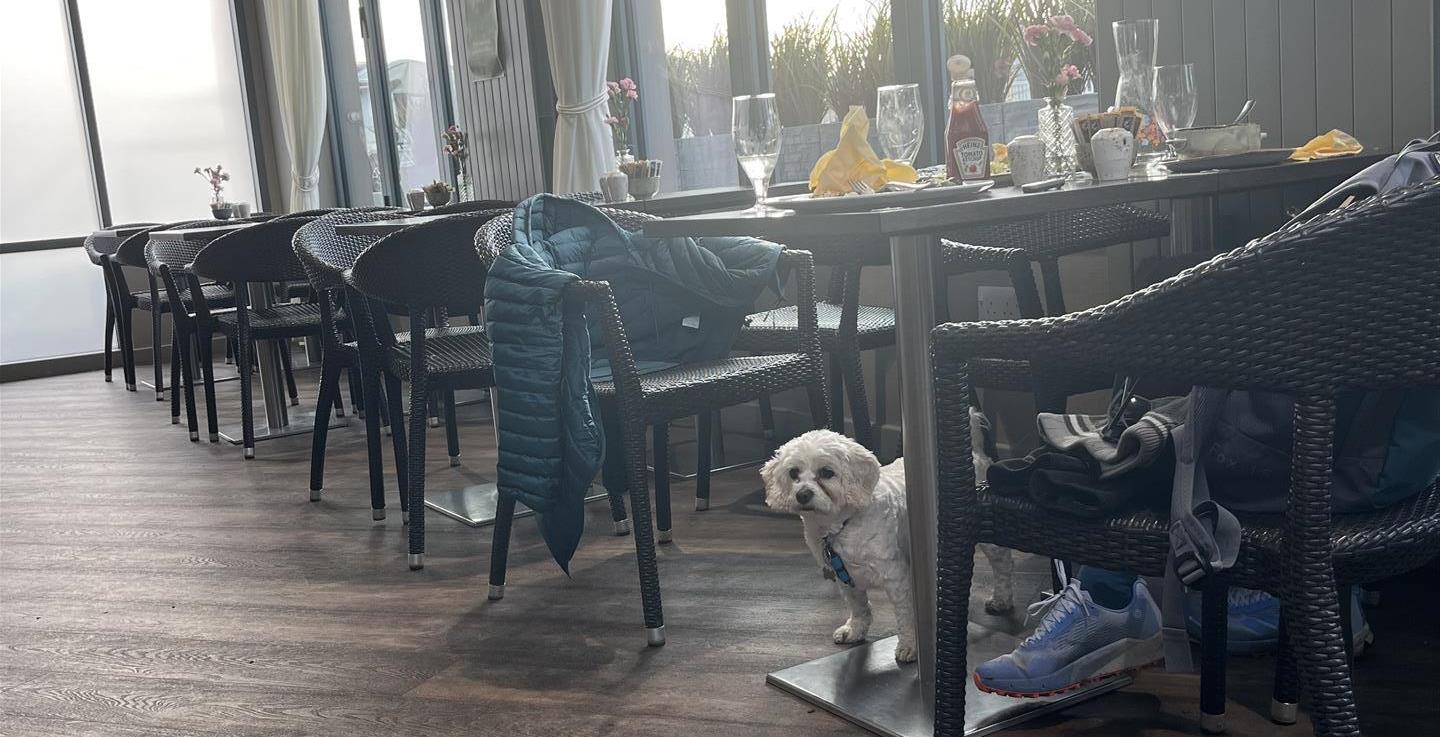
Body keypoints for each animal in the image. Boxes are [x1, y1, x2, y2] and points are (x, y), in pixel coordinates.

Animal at [766, 414, 1013, 662]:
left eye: (827, 472)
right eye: (793, 473)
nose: (802, 494)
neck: (844, 524)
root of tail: (974, 452)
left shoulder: (896, 577)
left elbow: (905, 616)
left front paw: (910, 646)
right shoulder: (844, 575)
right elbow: (858, 606)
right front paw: (855, 629)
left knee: (1002, 564)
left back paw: (1002, 599)